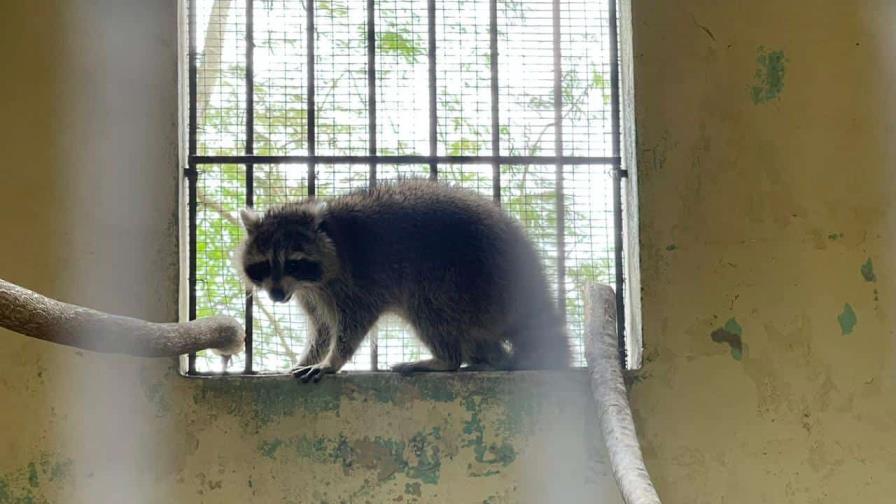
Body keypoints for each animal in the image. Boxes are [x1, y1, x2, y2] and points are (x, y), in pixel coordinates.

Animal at [231, 179, 568, 380]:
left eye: (294, 263)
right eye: (263, 265)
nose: (276, 295)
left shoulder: (357, 282)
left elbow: (352, 324)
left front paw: (333, 360)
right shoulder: (311, 294)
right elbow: (322, 327)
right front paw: (309, 355)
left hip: (459, 277)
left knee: (428, 307)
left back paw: (446, 359)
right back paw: (491, 359)